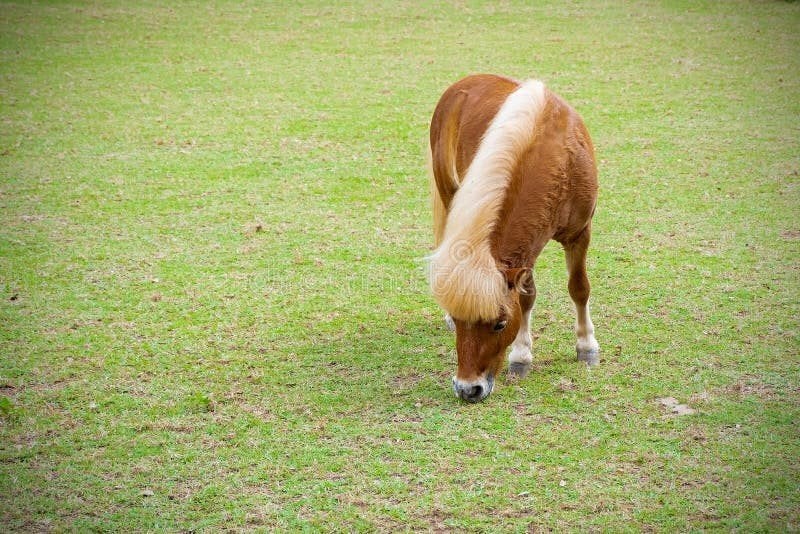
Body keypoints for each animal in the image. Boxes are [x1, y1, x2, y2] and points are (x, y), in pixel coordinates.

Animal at [427, 74, 600, 403]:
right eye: (460, 321)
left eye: (499, 324)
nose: (467, 389)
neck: (558, 158)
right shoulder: (525, 255)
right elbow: (526, 298)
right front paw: (521, 356)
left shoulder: (579, 233)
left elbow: (579, 288)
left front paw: (587, 347)